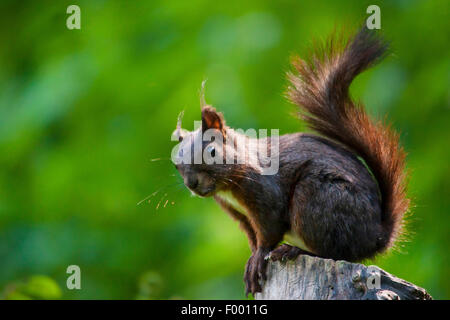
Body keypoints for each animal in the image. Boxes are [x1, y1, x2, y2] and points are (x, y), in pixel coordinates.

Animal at [171, 27, 408, 296]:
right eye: (176, 164)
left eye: (211, 151)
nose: (191, 184)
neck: (229, 185)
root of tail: (375, 236)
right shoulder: (240, 215)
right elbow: (253, 237)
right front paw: (252, 258)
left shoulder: (265, 194)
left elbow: (269, 230)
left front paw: (259, 258)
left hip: (317, 198)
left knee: (336, 251)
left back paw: (294, 250)